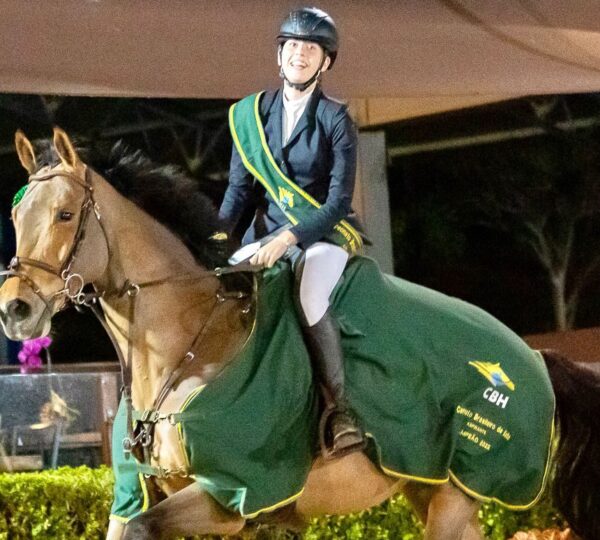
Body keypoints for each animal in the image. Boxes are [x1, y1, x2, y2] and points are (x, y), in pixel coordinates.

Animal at [0, 128, 599, 540]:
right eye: (16, 217)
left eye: (65, 214)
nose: (15, 309)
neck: (188, 344)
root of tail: (534, 357)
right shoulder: (141, 497)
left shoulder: (227, 495)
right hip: (426, 487)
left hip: (457, 493)